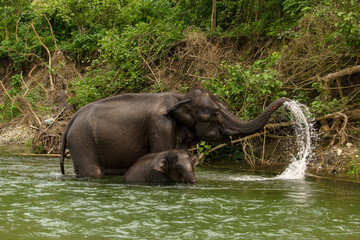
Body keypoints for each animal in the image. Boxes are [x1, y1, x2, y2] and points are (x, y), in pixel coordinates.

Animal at [59, 89, 290, 177]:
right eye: (216, 114)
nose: (289, 100)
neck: (181, 97)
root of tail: (70, 120)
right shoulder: (160, 126)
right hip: (82, 142)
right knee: (93, 172)